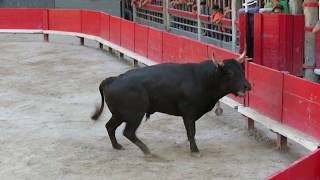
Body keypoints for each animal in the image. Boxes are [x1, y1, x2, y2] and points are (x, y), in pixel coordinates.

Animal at [91, 50, 251, 156]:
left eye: (242, 71)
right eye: (229, 73)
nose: (247, 86)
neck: (203, 78)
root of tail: (112, 80)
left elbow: (190, 132)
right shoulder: (188, 112)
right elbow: (191, 131)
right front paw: (195, 150)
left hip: (119, 114)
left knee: (110, 126)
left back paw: (117, 146)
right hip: (134, 114)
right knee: (128, 132)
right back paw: (147, 151)